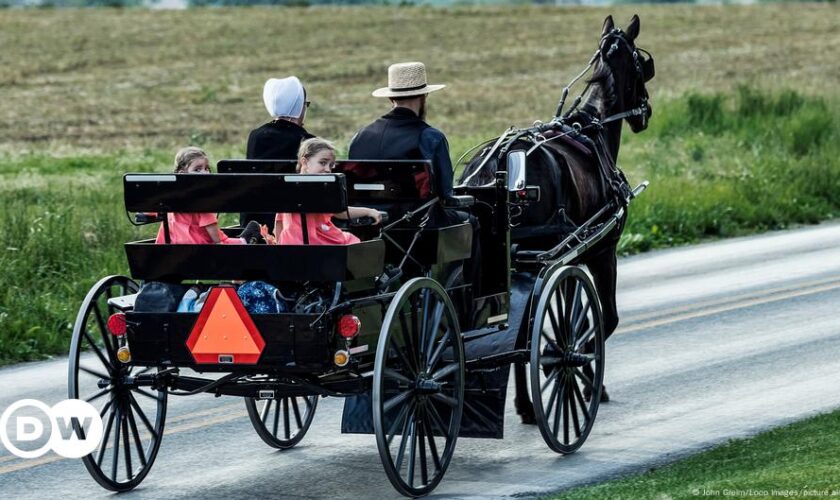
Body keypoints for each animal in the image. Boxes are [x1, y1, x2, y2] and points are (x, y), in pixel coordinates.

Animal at [460, 14, 656, 418]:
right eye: (642, 66)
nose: (646, 112)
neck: (593, 126)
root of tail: (494, 165)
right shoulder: (601, 252)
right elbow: (597, 321)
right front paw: (588, 380)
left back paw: (523, 402)